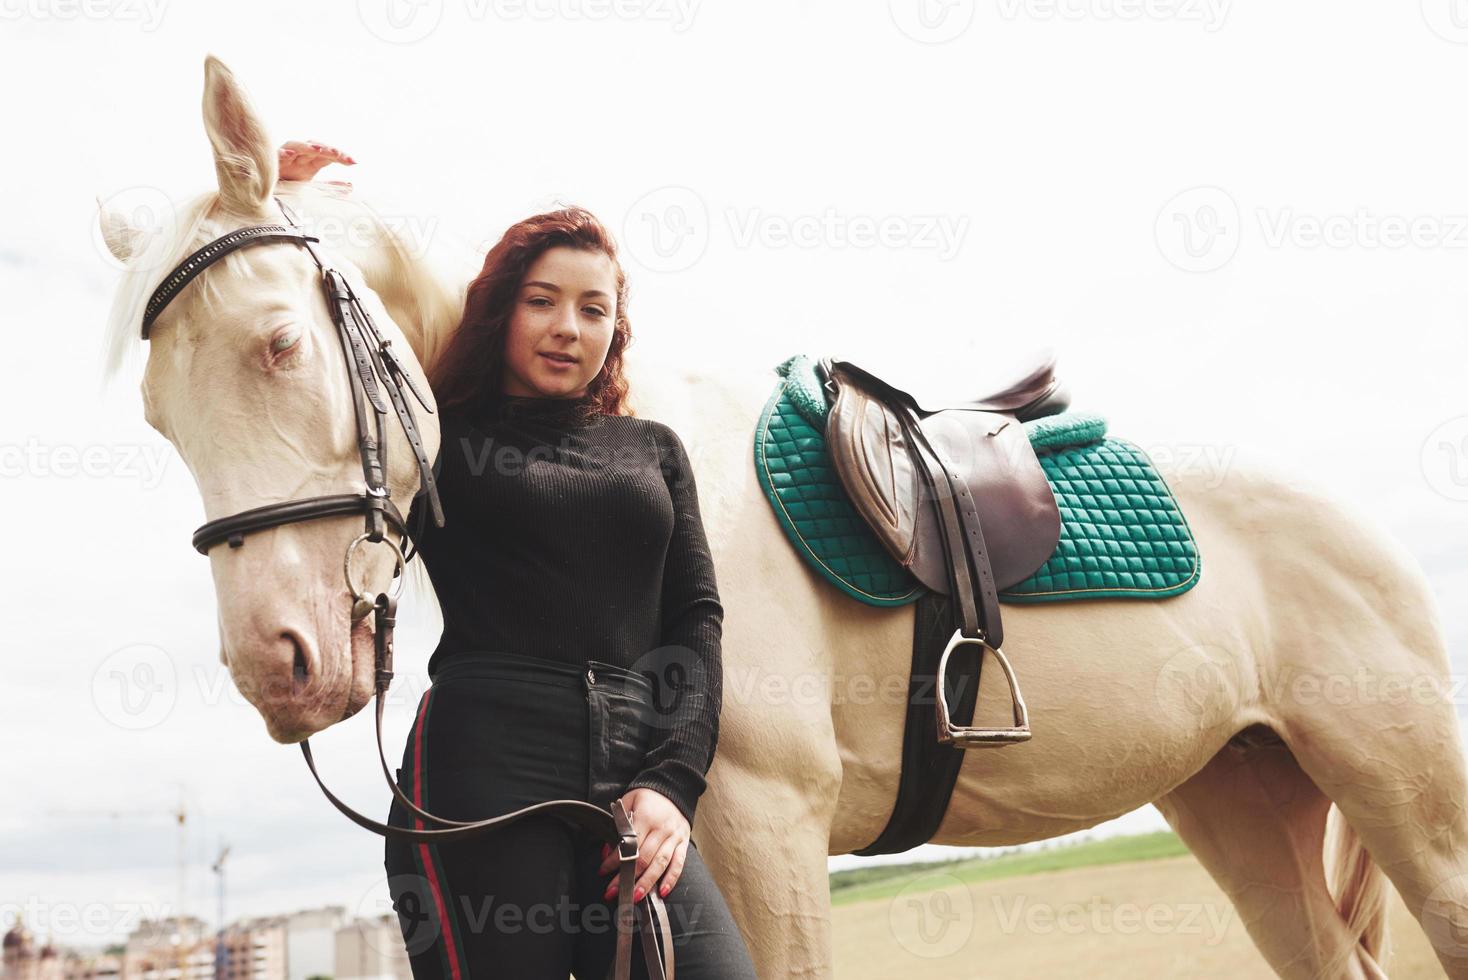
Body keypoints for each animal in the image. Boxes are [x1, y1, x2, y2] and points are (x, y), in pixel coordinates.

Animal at [103, 53, 1468, 979]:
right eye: (158, 416)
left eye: (279, 344)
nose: (277, 666)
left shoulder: (769, 835)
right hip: (1242, 795)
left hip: (1413, 805)